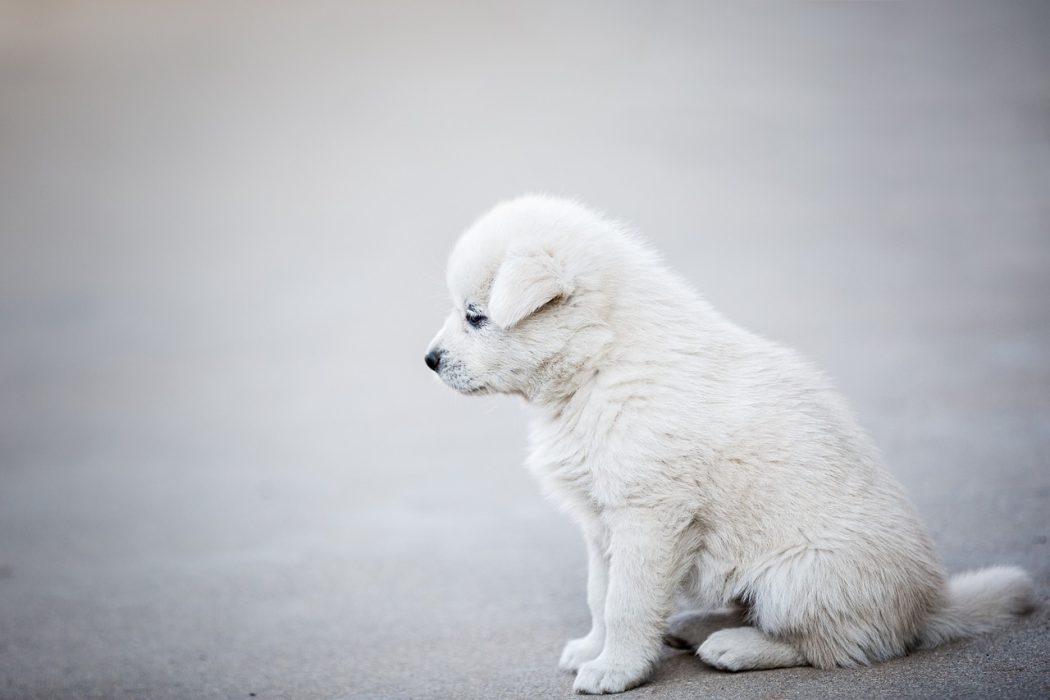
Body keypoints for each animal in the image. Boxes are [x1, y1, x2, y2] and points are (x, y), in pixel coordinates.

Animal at [422, 197, 1029, 696]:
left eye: (476, 316)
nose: (429, 360)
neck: (601, 363)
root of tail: (928, 609)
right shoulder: (601, 521)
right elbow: (599, 593)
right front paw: (592, 649)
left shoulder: (648, 515)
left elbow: (626, 602)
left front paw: (615, 670)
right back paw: (697, 626)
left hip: (799, 577)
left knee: (837, 646)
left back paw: (736, 647)